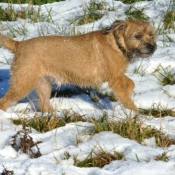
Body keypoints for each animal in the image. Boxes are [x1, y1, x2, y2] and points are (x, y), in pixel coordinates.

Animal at [0, 19, 157, 112]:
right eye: (137, 36)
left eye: (151, 34)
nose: (152, 47)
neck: (117, 43)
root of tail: (20, 44)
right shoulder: (115, 80)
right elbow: (125, 96)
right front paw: (135, 114)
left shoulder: (117, 75)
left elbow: (130, 83)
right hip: (23, 83)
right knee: (3, 102)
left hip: (43, 84)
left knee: (43, 105)